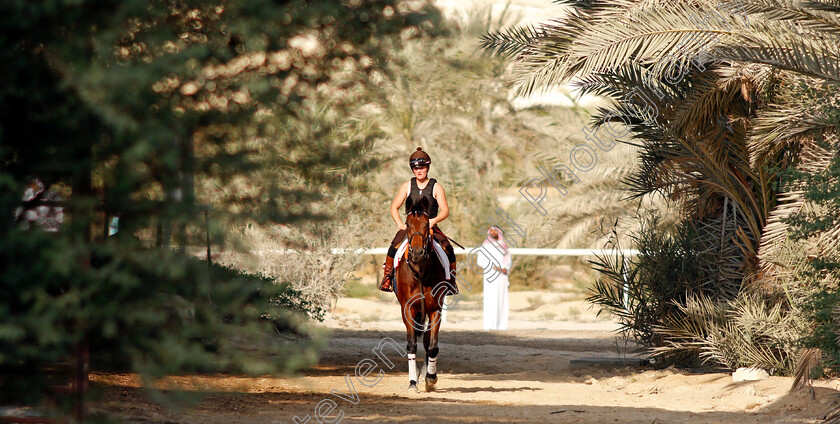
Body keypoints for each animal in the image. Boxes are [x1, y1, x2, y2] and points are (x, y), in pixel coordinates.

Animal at [396, 195, 452, 390]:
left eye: (427, 224)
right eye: (407, 224)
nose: (418, 253)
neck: (420, 272)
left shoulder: (435, 309)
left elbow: (432, 345)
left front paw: (431, 378)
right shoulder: (408, 309)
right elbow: (412, 346)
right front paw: (413, 382)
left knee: (428, 341)